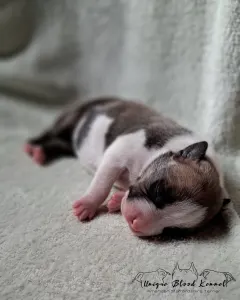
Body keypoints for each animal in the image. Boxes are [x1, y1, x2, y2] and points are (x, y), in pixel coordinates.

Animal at [23, 97, 230, 236]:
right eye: (158, 191)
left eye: (173, 231)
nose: (135, 222)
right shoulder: (118, 153)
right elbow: (101, 185)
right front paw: (88, 204)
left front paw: (116, 200)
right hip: (72, 117)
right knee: (52, 132)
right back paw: (34, 147)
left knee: (61, 143)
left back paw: (42, 152)